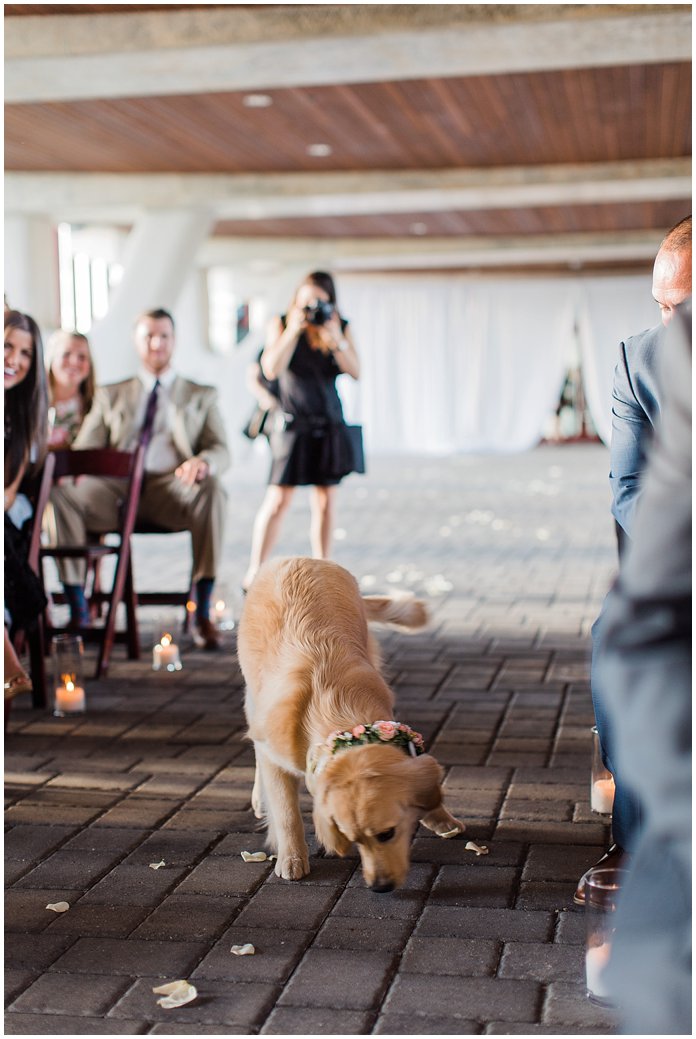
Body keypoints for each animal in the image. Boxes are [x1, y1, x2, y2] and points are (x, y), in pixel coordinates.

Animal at [236, 556, 465, 889]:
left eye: (388, 834)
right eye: (353, 839)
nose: (380, 887)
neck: (332, 709)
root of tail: (300, 558)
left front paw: (440, 818)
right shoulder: (274, 753)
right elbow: (287, 812)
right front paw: (291, 857)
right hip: (253, 695)